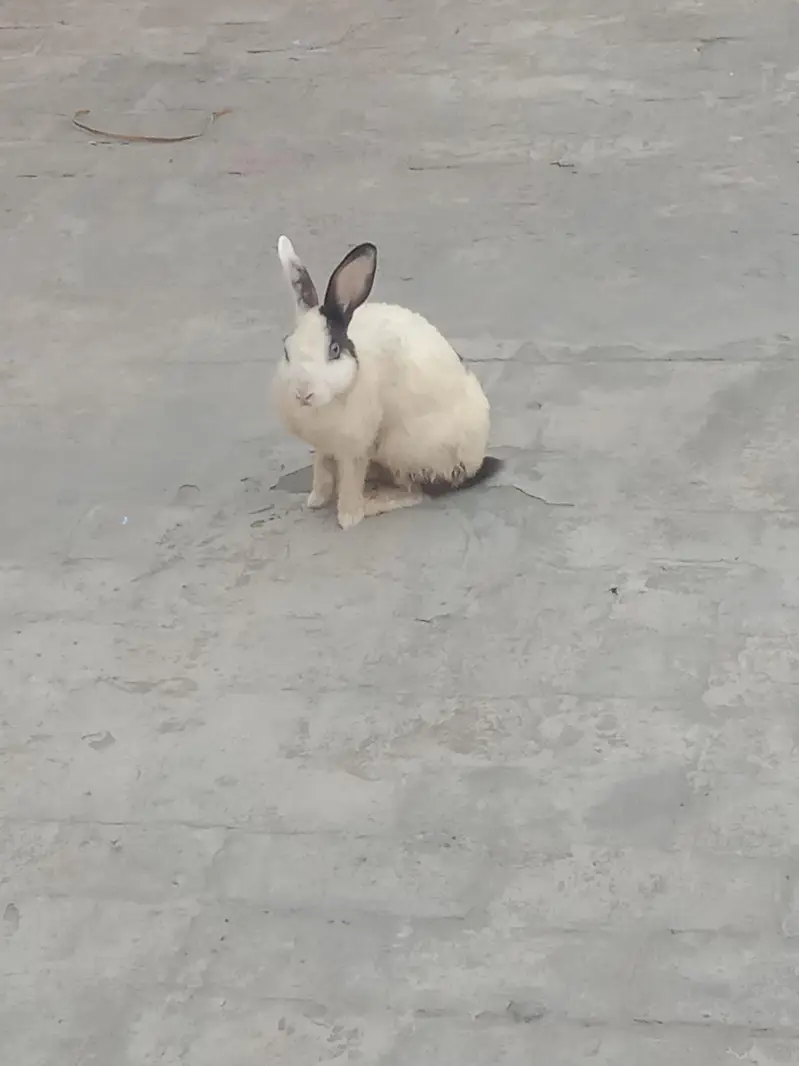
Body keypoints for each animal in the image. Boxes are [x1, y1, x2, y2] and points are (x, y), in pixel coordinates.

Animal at [273, 235, 501, 529]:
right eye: (286, 349)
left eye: (333, 350)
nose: (303, 393)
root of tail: (475, 462)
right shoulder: (323, 446)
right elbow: (321, 470)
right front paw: (315, 500)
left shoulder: (356, 447)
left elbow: (350, 480)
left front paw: (349, 517)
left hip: (405, 448)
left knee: (418, 491)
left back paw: (375, 502)